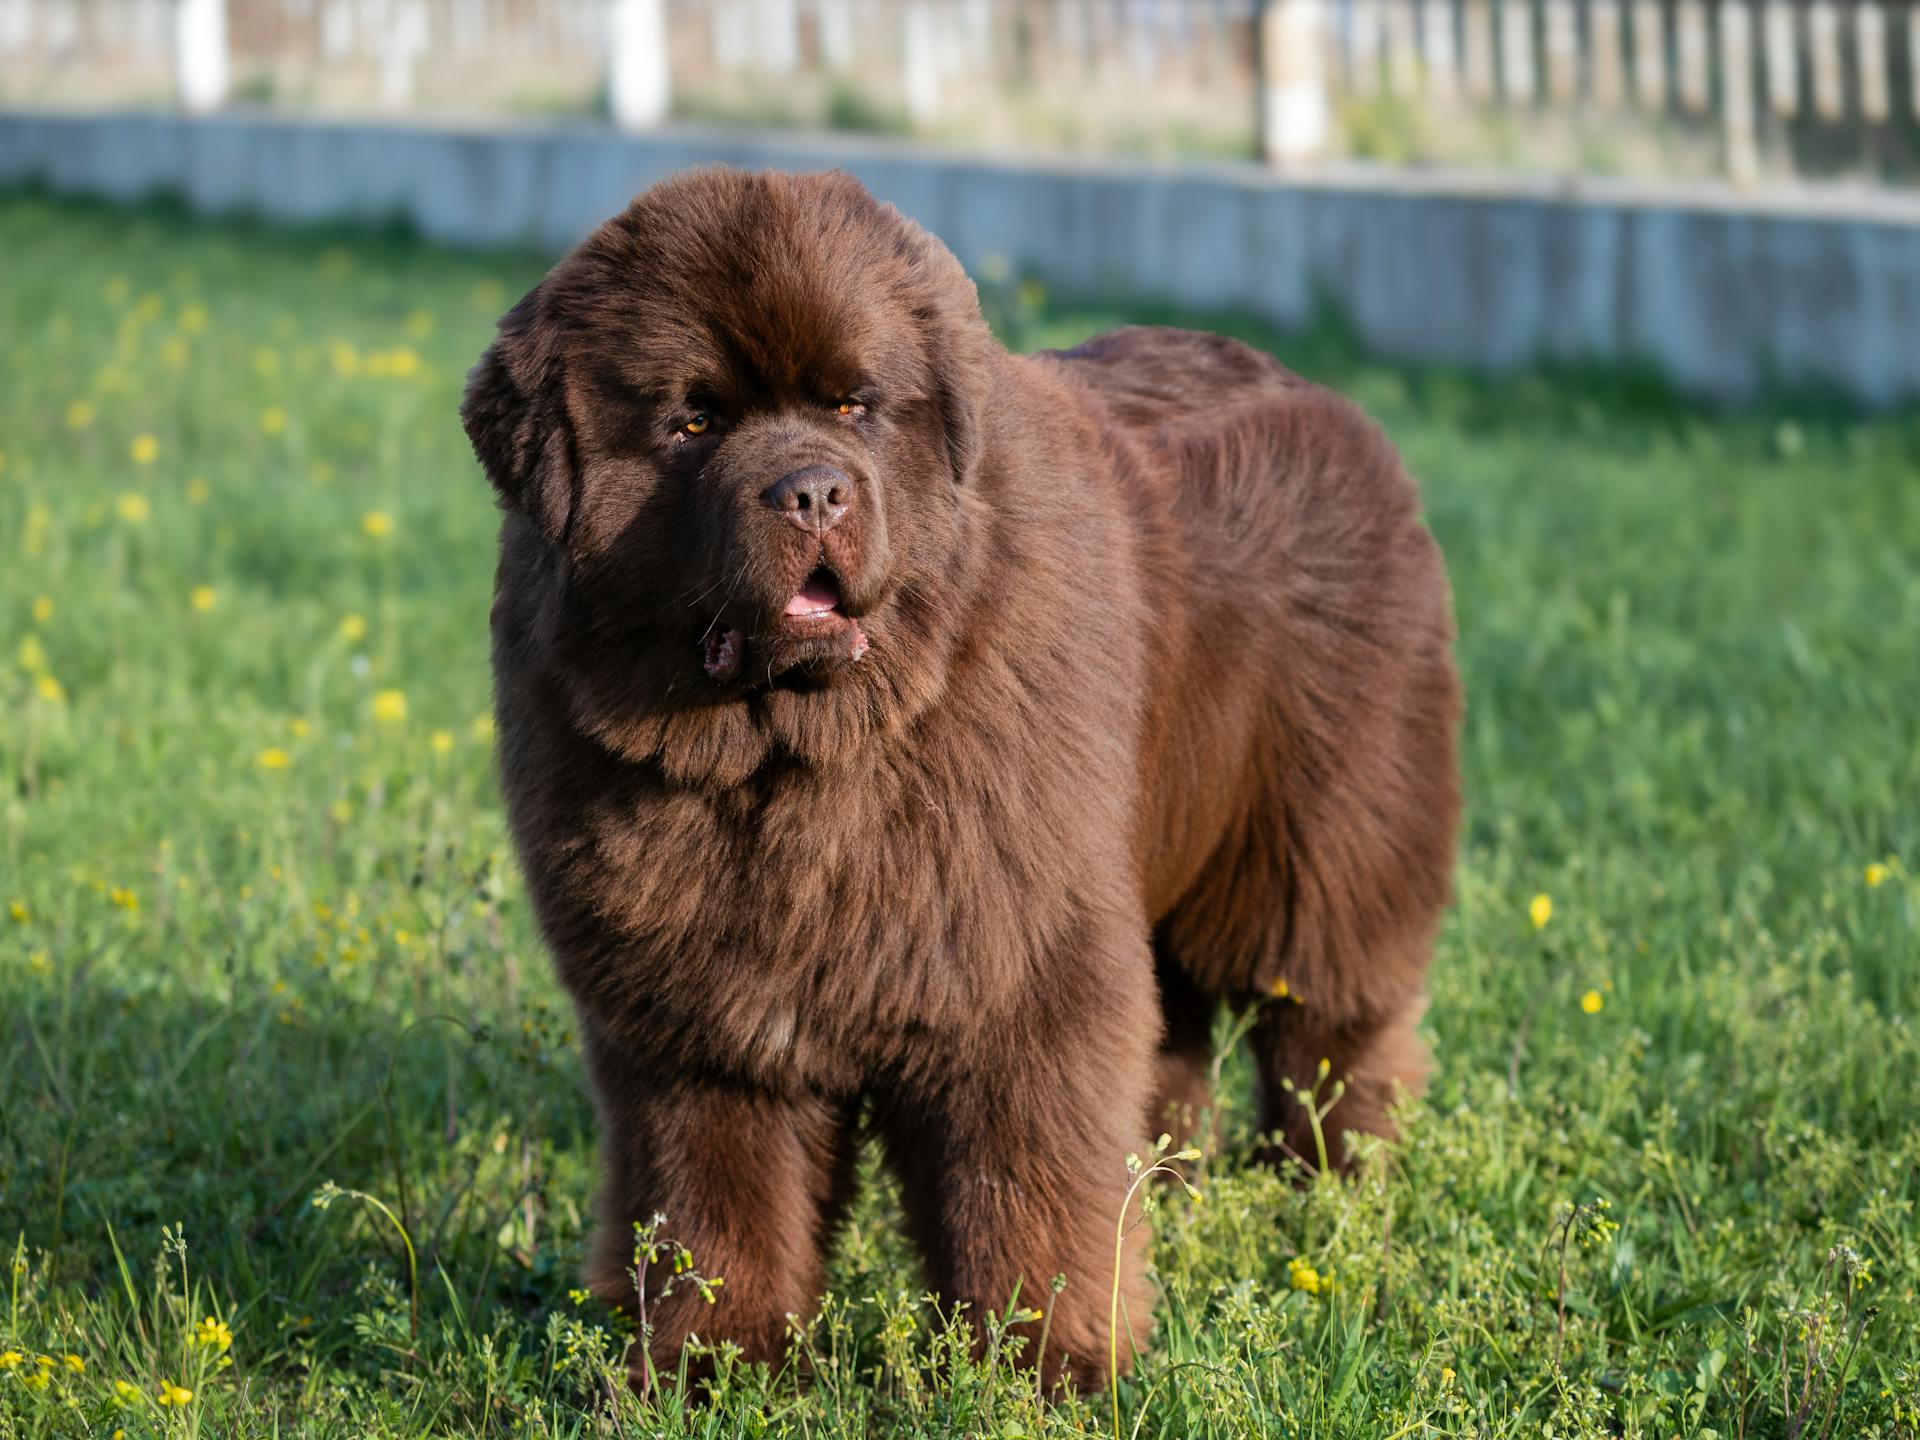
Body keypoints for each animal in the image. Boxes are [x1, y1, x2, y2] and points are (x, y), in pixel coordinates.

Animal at [460, 168, 1451, 1397]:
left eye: (855, 407)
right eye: (693, 422)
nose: (812, 495)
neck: (797, 759)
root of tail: (1321, 393)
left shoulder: (1015, 967)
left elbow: (1025, 1173)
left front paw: (1047, 1366)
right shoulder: (700, 1014)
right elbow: (708, 1195)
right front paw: (712, 1364)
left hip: (1326, 833)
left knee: (1330, 1009)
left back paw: (1334, 1181)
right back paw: (1170, 1184)